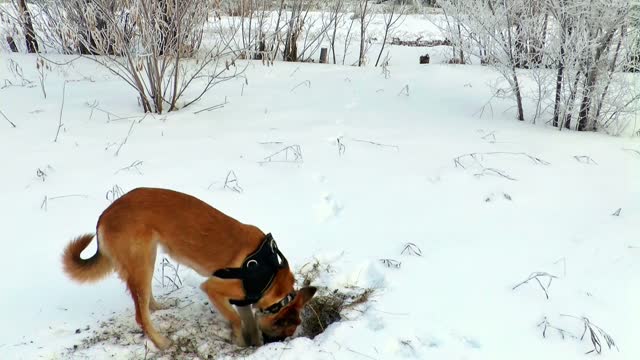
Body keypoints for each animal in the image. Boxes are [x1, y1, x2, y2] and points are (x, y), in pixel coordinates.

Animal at [61, 187, 316, 350]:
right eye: (282, 333)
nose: (274, 345)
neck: (269, 275)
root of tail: (105, 215)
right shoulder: (213, 288)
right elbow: (234, 319)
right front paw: (241, 342)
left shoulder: (243, 300)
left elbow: (249, 322)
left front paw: (250, 341)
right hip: (142, 261)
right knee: (141, 315)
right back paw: (162, 343)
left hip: (148, 259)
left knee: (144, 301)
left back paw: (158, 307)